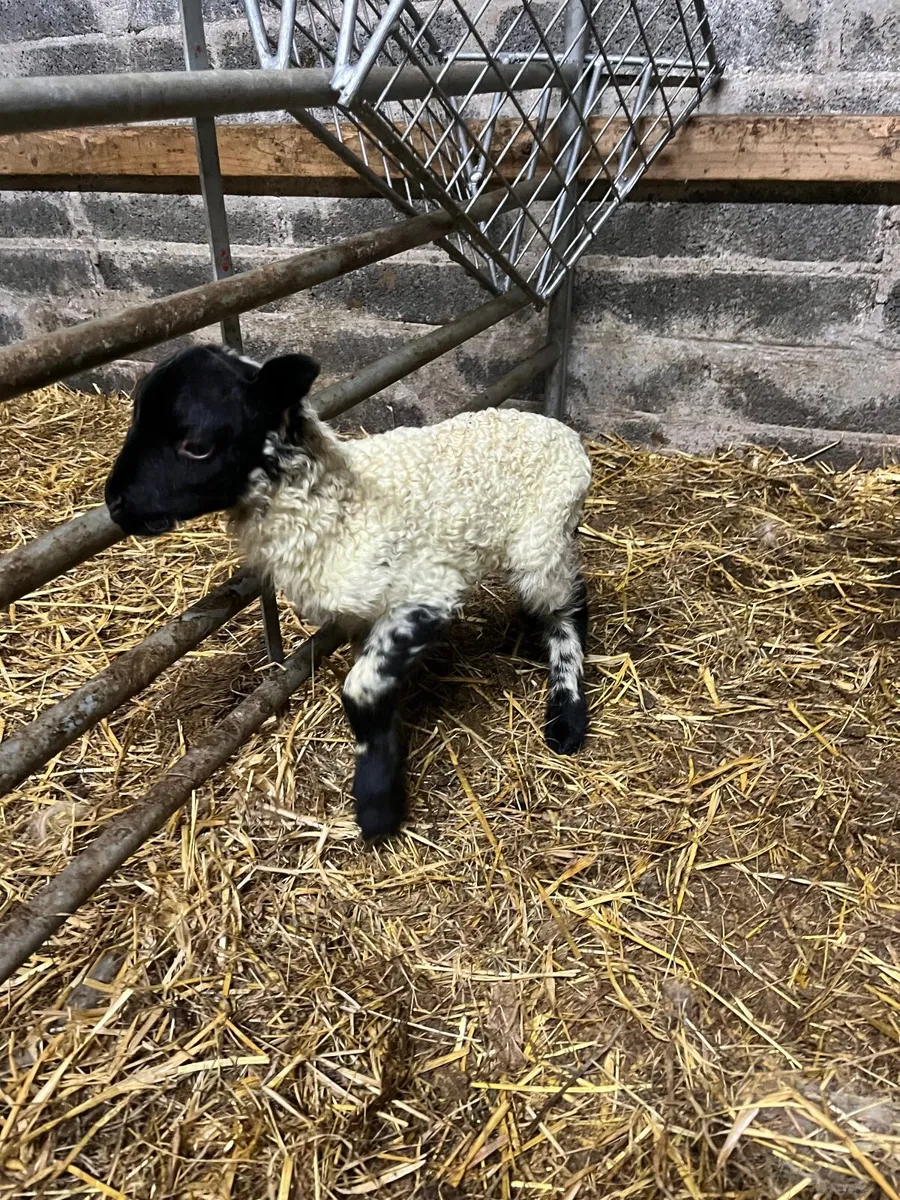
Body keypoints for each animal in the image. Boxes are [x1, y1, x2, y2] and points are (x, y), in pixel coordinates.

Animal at [105, 343, 593, 841]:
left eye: (196, 445)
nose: (115, 505)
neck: (340, 509)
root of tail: (564, 433)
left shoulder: (427, 588)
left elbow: (360, 689)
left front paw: (378, 804)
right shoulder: (367, 614)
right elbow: (377, 687)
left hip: (541, 540)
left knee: (570, 606)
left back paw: (566, 718)